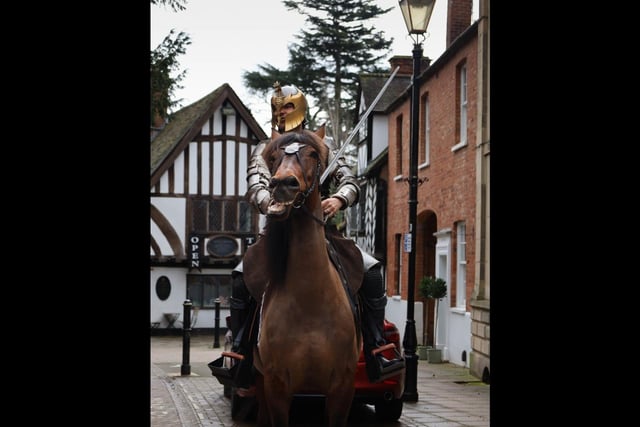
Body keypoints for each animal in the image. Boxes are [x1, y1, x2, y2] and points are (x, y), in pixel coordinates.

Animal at [248, 128, 362, 427]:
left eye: (312, 154)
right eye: (273, 157)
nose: (283, 184)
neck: (310, 300)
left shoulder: (343, 387)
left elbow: (348, 180)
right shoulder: (276, 386)